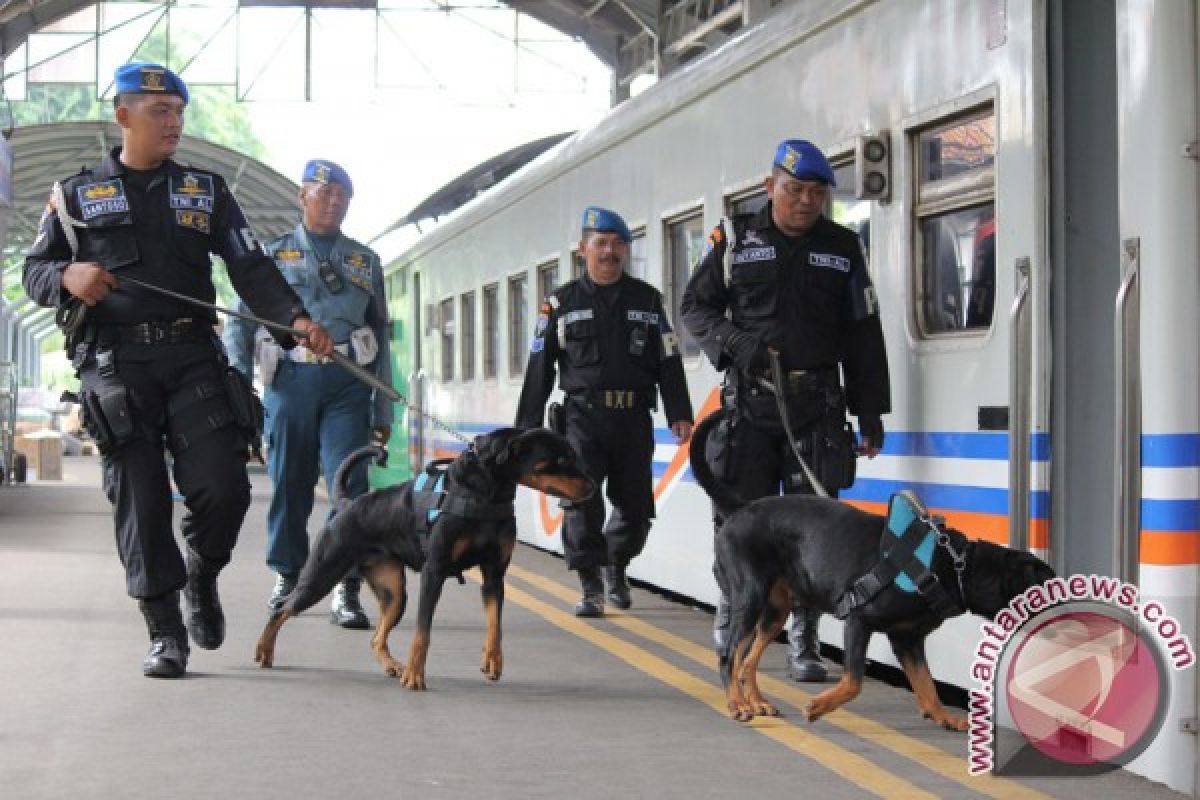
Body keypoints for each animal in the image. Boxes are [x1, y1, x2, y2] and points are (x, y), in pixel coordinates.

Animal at [255, 429, 592, 690]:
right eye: (561, 460)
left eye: (573, 456)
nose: (591, 488)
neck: (485, 492)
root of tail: (348, 505)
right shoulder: (435, 571)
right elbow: (423, 632)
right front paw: (416, 676)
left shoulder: (495, 575)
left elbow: (494, 624)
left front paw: (492, 661)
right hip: (322, 574)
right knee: (282, 610)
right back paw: (264, 651)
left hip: (394, 593)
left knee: (376, 638)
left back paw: (394, 665)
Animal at [691, 410, 1056, 729]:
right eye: (1046, 584)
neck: (951, 566)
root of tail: (742, 508)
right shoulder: (859, 619)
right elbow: (854, 681)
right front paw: (818, 706)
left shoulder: (907, 640)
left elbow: (927, 684)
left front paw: (942, 715)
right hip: (750, 596)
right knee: (729, 655)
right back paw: (736, 704)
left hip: (775, 609)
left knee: (747, 659)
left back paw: (754, 701)